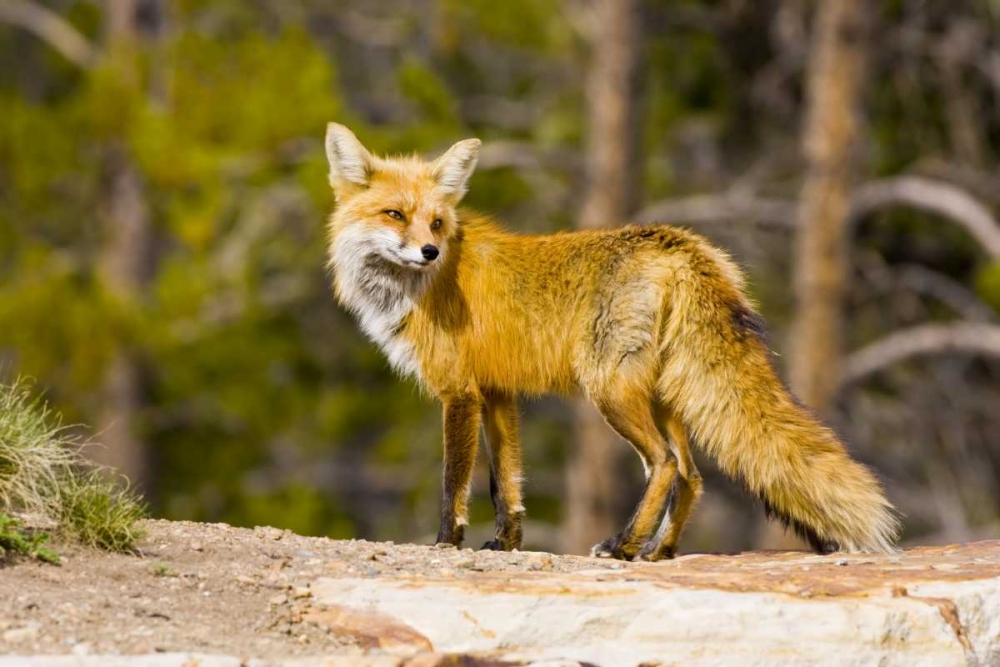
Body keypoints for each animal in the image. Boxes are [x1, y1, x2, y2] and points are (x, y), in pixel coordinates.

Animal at [323, 122, 900, 561]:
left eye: (438, 222)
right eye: (395, 214)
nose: (429, 251)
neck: (415, 288)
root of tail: (680, 245)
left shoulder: (459, 391)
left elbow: (454, 483)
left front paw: (446, 543)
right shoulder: (497, 393)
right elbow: (506, 483)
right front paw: (506, 544)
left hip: (611, 391)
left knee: (664, 466)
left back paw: (622, 546)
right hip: (663, 396)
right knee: (691, 476)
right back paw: (658, 552)